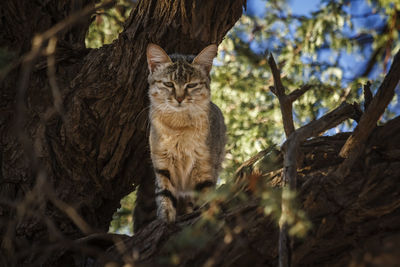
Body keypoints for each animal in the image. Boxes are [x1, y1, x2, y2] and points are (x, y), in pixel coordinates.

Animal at [146, 44, 228, 223]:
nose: (179, 99)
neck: (179, 127)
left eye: (191, 85)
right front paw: (165, 218)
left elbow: (204, 198)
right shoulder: (162, 165)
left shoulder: (204, 167)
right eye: (169, 84)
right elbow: (165, 195)